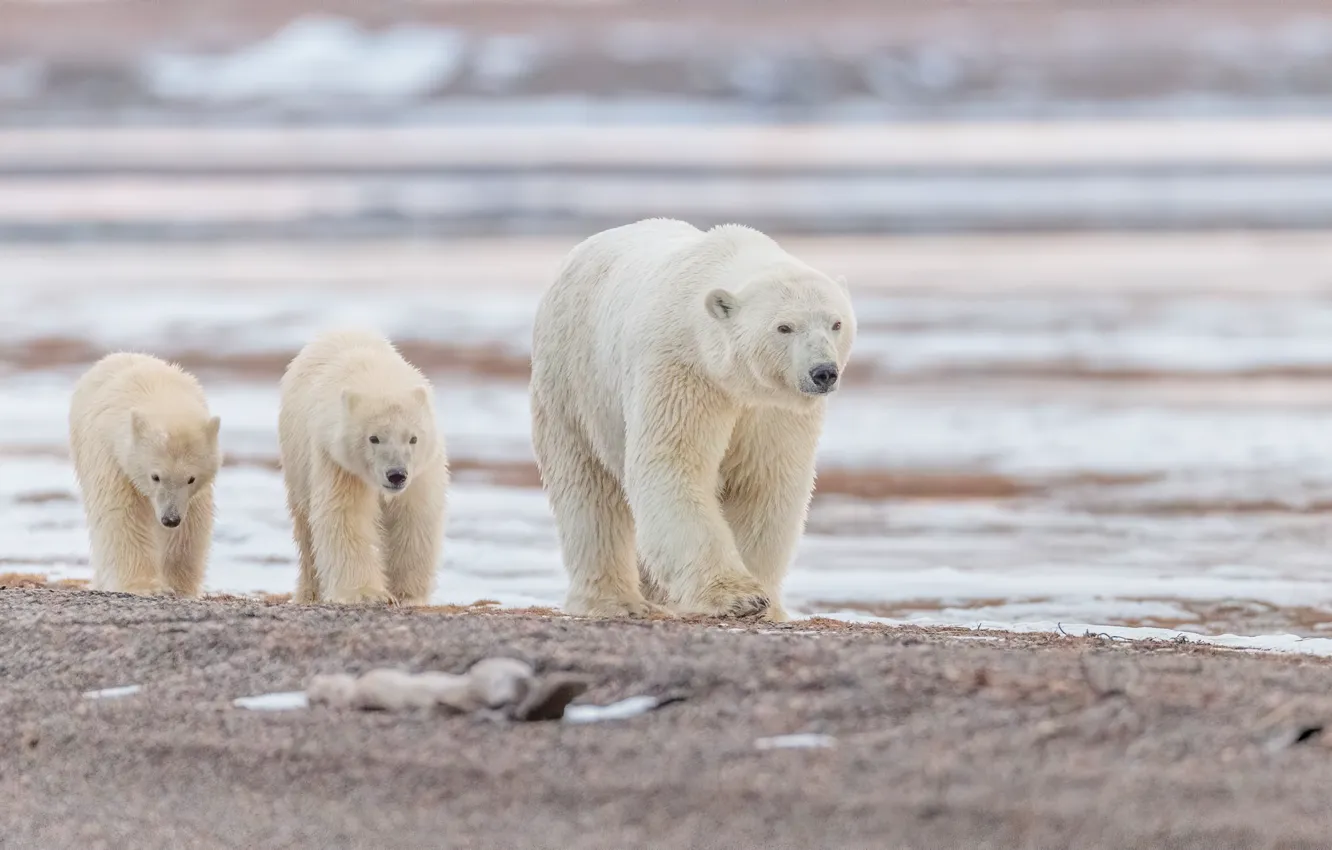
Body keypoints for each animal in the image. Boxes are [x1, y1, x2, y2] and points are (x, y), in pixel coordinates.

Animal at [70, 351, 222, 599]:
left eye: (191, 478)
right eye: (155, 476)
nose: (170, 519)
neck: (157, 393)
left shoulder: (193, 495)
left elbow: (192, 525)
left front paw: (179, 586)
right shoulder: (112, 456)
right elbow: (122, 514)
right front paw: (144, 586)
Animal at [278, 331, 450, 607]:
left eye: (413, 438)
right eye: (373, 438)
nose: (396, 474)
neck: (376, 377)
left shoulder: (422, 470)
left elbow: (414, 516)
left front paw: (408, 594)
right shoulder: (336, 461)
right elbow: (346, 515)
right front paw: (365, 593)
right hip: (296, 460)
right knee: (305, 528)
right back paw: (309, 594)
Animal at [532, 215, 857, 623]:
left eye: (836, 323)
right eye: (784, 327)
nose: (823, 372)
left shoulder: (771, 409)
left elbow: (764, 483)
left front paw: (765, 602)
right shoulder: (682, 370)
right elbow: (673, 464)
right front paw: (738, 597)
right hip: (573, 379)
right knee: (587, 491)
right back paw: (613, 600)